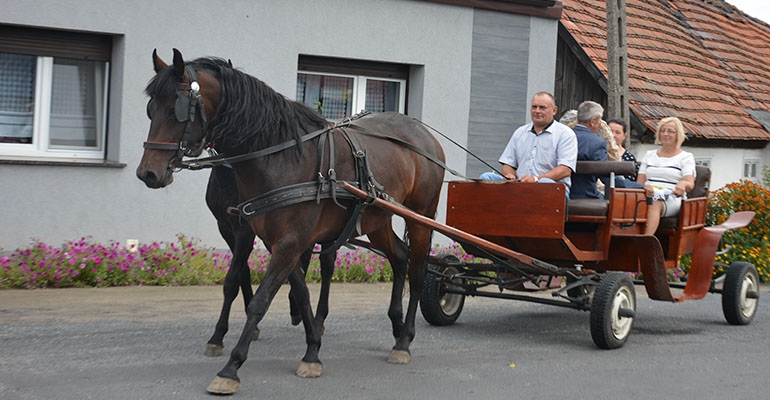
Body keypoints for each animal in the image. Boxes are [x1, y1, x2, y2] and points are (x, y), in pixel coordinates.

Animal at [204, 165, 336, 356]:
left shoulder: (244, 230)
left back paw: (318, 320)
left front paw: (217, 337)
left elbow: (231, 282)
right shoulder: (225, 228)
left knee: (327, 265)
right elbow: (243, 274)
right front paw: (253, 328)